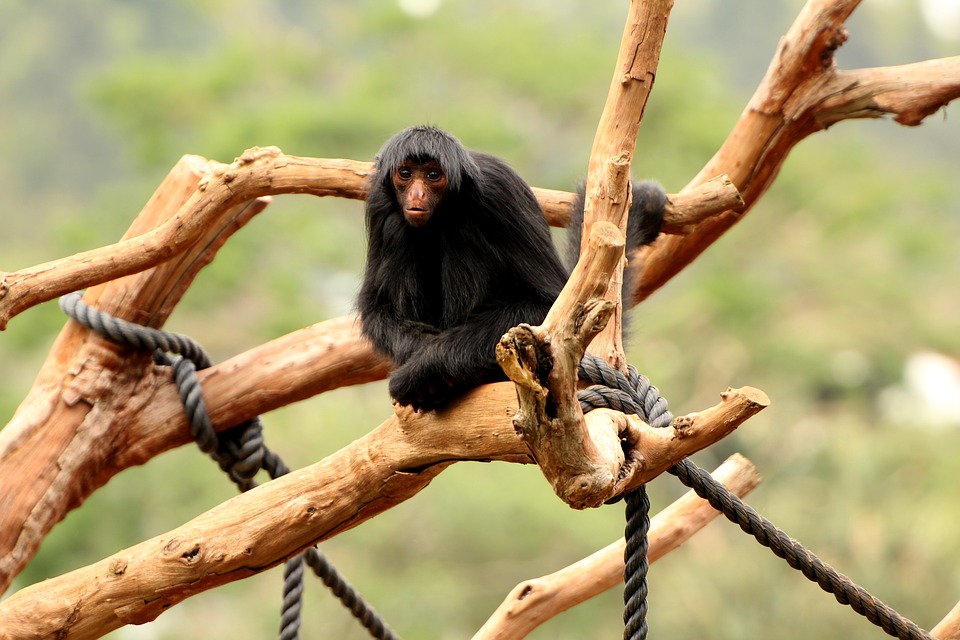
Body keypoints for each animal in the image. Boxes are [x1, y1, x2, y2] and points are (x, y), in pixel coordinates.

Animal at [356, 125, 664, 410]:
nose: (417, 195)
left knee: (460, 230)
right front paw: (420, 354)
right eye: (405, 174)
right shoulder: (379, 204)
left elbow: (545, 303)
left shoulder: (500, 191)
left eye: (433, 176)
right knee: (400, 228)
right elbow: (376, 308)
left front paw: (423, 369)